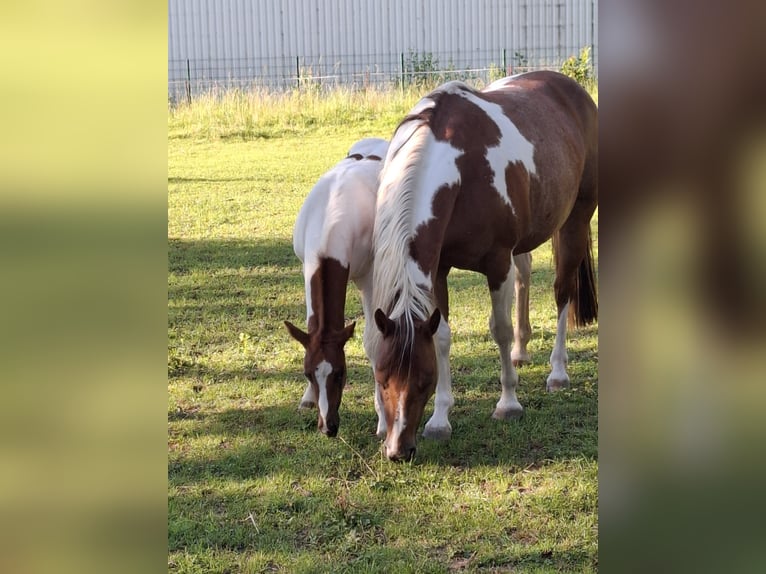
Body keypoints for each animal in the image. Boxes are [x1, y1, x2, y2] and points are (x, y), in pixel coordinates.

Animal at [284, 137, 388, 438]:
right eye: (308, 373)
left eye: (341, 372)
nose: (328, 426)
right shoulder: (306, 266)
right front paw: (308, 398)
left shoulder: (369, 276)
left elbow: (373, 340)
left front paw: (382, 420)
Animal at [368, 71, 604, 464]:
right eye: (381, 376)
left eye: (424, 379)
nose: (398, 449)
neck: (460, 171)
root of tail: (572, 89)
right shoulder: (438, 269)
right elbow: (443, 336)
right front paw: (440, 420)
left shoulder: (496, 263)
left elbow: (500, 329)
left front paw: (508, 403)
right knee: (525, 274)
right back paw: (522, 352)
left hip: (576, 219)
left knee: (562, 292)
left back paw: (557, 372)